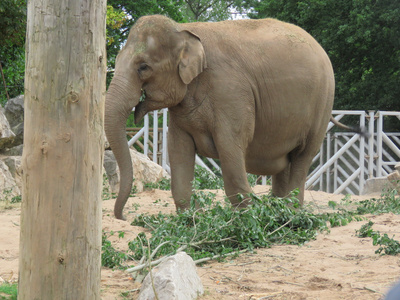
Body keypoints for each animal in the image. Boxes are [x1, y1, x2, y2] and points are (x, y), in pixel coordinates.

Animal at [104, 15, 336, 219]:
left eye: (143, 67)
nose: (124, 216)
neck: (184, 29)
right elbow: (179, 151)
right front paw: (192, 219)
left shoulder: (230, 93)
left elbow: (230, 149)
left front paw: (246, 219)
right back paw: (278, 210)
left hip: (323, 104)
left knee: (302, 157)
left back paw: (290, 214)